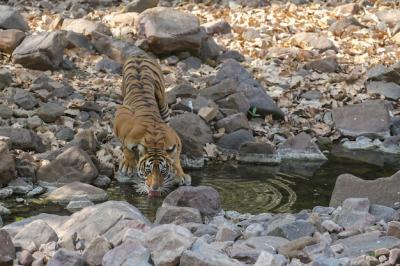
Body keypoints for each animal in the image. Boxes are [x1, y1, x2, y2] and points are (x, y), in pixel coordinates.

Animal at [113, 55, 191, 196]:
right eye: (147, 170)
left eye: (163, 171)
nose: (154, 188)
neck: (155, 142)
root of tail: (139, 55)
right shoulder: (122, 115)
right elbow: (127, 147)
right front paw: (128, 164)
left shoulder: (176, 140)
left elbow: (175, 158)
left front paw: (180, 174)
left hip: (163, 102)